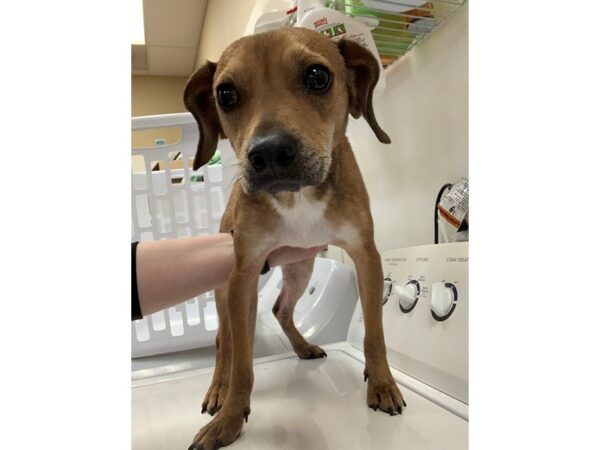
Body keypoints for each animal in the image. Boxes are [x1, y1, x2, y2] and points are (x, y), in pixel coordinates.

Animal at [185, 26, 406, 448]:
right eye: (226, 94)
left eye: (317, 76)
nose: (270, 152)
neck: (298, 196)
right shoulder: (243, 273)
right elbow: (243, 365)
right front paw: (230, 417)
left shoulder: (366, 255)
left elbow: (375, 333)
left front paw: (383, 384)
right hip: (227, 290)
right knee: (225, 342)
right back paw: (219, 388)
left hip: (301, 267)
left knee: (280, 309)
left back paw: (302, 346)